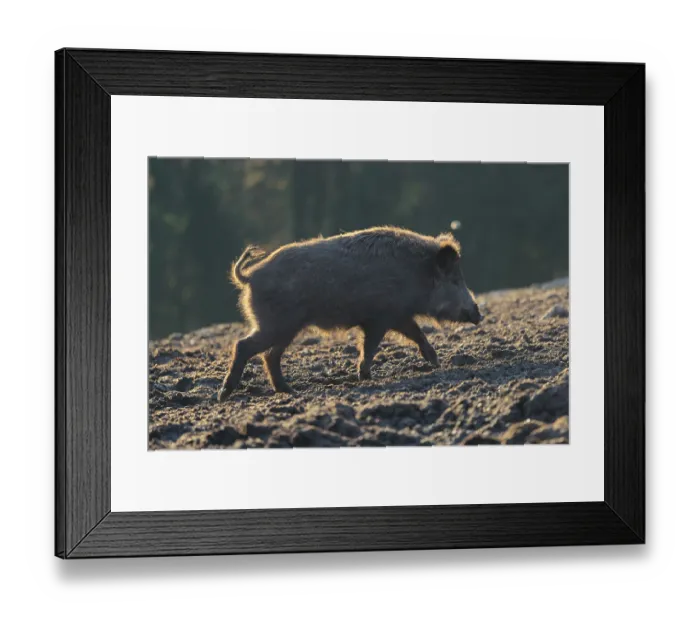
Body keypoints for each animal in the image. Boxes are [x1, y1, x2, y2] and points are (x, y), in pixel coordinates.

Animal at [218, 226, 483, 401]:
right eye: (455, 280)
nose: (478, 314)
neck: (416, 273)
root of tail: (250, 276)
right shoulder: (381, 317)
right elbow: (373, 346)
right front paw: (365, 376)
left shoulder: (395, 316)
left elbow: (415, 334)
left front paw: (436, 362)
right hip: (276, 324)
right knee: (243, 345)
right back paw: (224, 394)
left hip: (285, 328)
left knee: (269, 356)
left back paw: (289, 390)